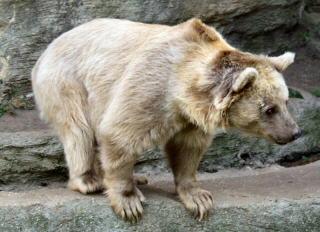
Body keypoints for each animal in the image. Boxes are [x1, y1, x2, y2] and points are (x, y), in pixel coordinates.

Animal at [31, 18, 302, 223]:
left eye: (286, 101)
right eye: (269, 109)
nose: (295, 132)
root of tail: (47, 50)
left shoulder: (190, 119)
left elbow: (187, 150)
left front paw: (198, 198)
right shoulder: (151, 87)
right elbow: (120, 134)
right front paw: (129, 201)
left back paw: (134, 176)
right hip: (67, 82)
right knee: (79, 130)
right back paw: (89, 181)